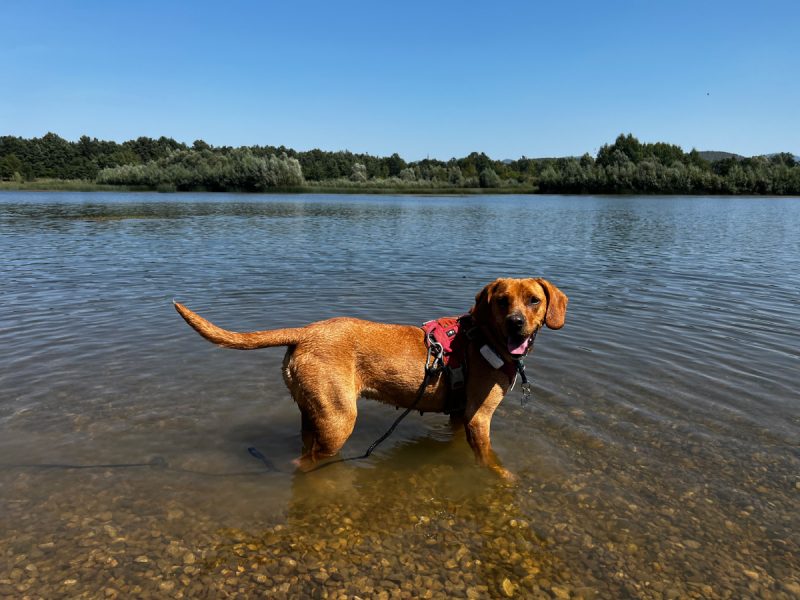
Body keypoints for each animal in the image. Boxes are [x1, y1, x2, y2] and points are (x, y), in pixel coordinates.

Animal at [173, 276, 568, 478]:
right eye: (502, 301)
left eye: (533, 301)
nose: (516, 324)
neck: (485, 337)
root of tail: (305, 332)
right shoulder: (479, 417)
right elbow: (489, 458)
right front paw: (503, 477)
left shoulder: (460, 415)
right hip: (339, 418)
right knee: (306, 463)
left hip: (313, 413)